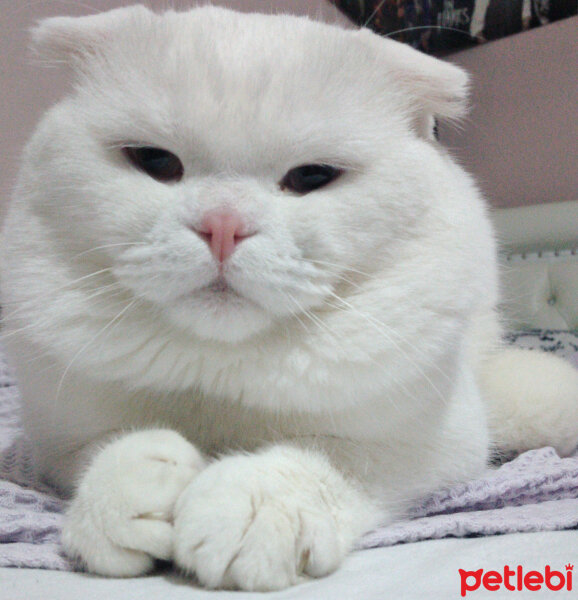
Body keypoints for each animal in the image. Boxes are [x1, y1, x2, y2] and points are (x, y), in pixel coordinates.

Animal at [1, 4, 576, 592]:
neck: (220, 376)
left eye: (312, 176)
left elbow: (323, 459)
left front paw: (252, 509)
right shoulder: (54, 440)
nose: (223, 225)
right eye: (155, 162)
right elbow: (106, 446)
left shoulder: (428, 448)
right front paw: (134, 490)